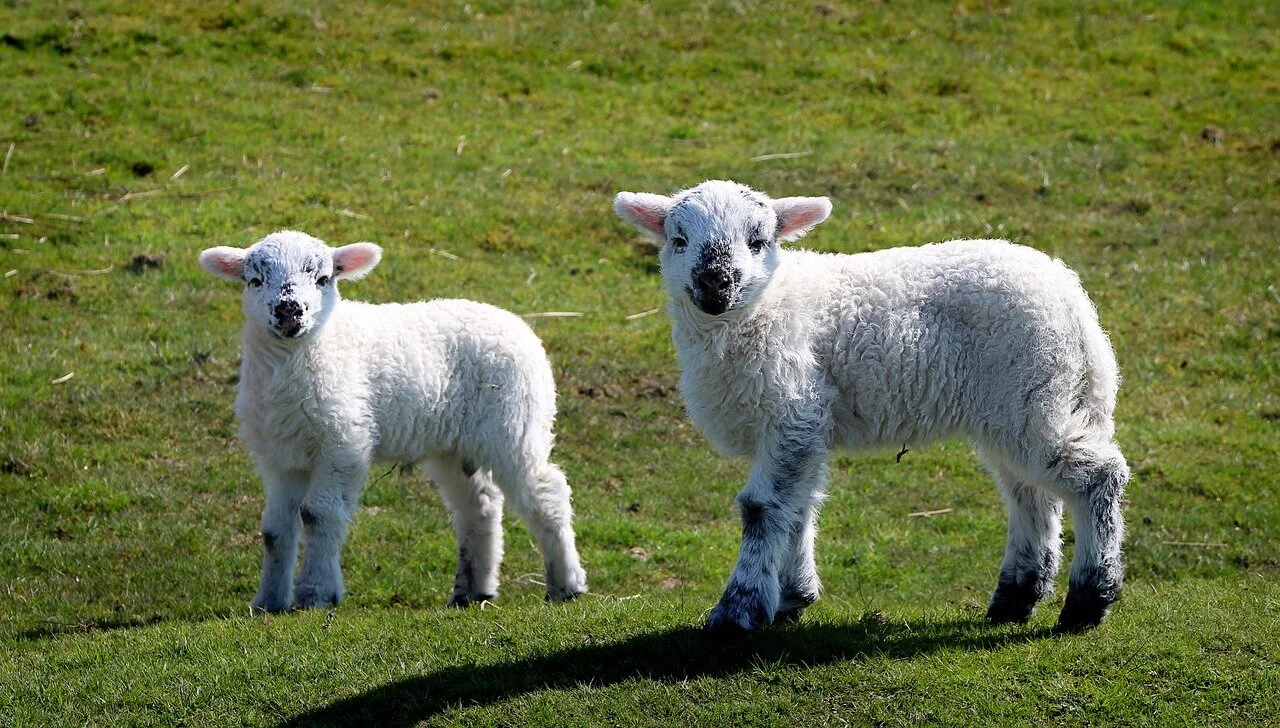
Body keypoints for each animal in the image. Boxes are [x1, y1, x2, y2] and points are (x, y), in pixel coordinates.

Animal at [198, 230, 587, 613]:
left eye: (324, 278)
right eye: (254, 280)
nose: (289, 310)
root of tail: (517, 323)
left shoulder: (343, 443)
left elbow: (317, 514)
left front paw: (316, 595)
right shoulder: (280, 456)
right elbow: (276, 530)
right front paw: (268, 602)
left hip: (514, 423)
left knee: (546, 492)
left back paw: (566, 584)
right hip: (453, 445)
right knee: (479, 506)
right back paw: (472, 591)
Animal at [614, 180, 1129, 634]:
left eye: (758, 242)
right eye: (679, 240)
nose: (715, 283)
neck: (766, 308)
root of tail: (1075, 303)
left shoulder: (793, 408)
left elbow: (762, 508)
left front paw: (738, 610)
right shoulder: (804, 425)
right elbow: (798, 506)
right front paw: (793, 596)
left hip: (1034, 395)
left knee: (1099, 476)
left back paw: (1088, 600)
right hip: (1015, 409)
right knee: (1030, 495)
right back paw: (1015, 599)